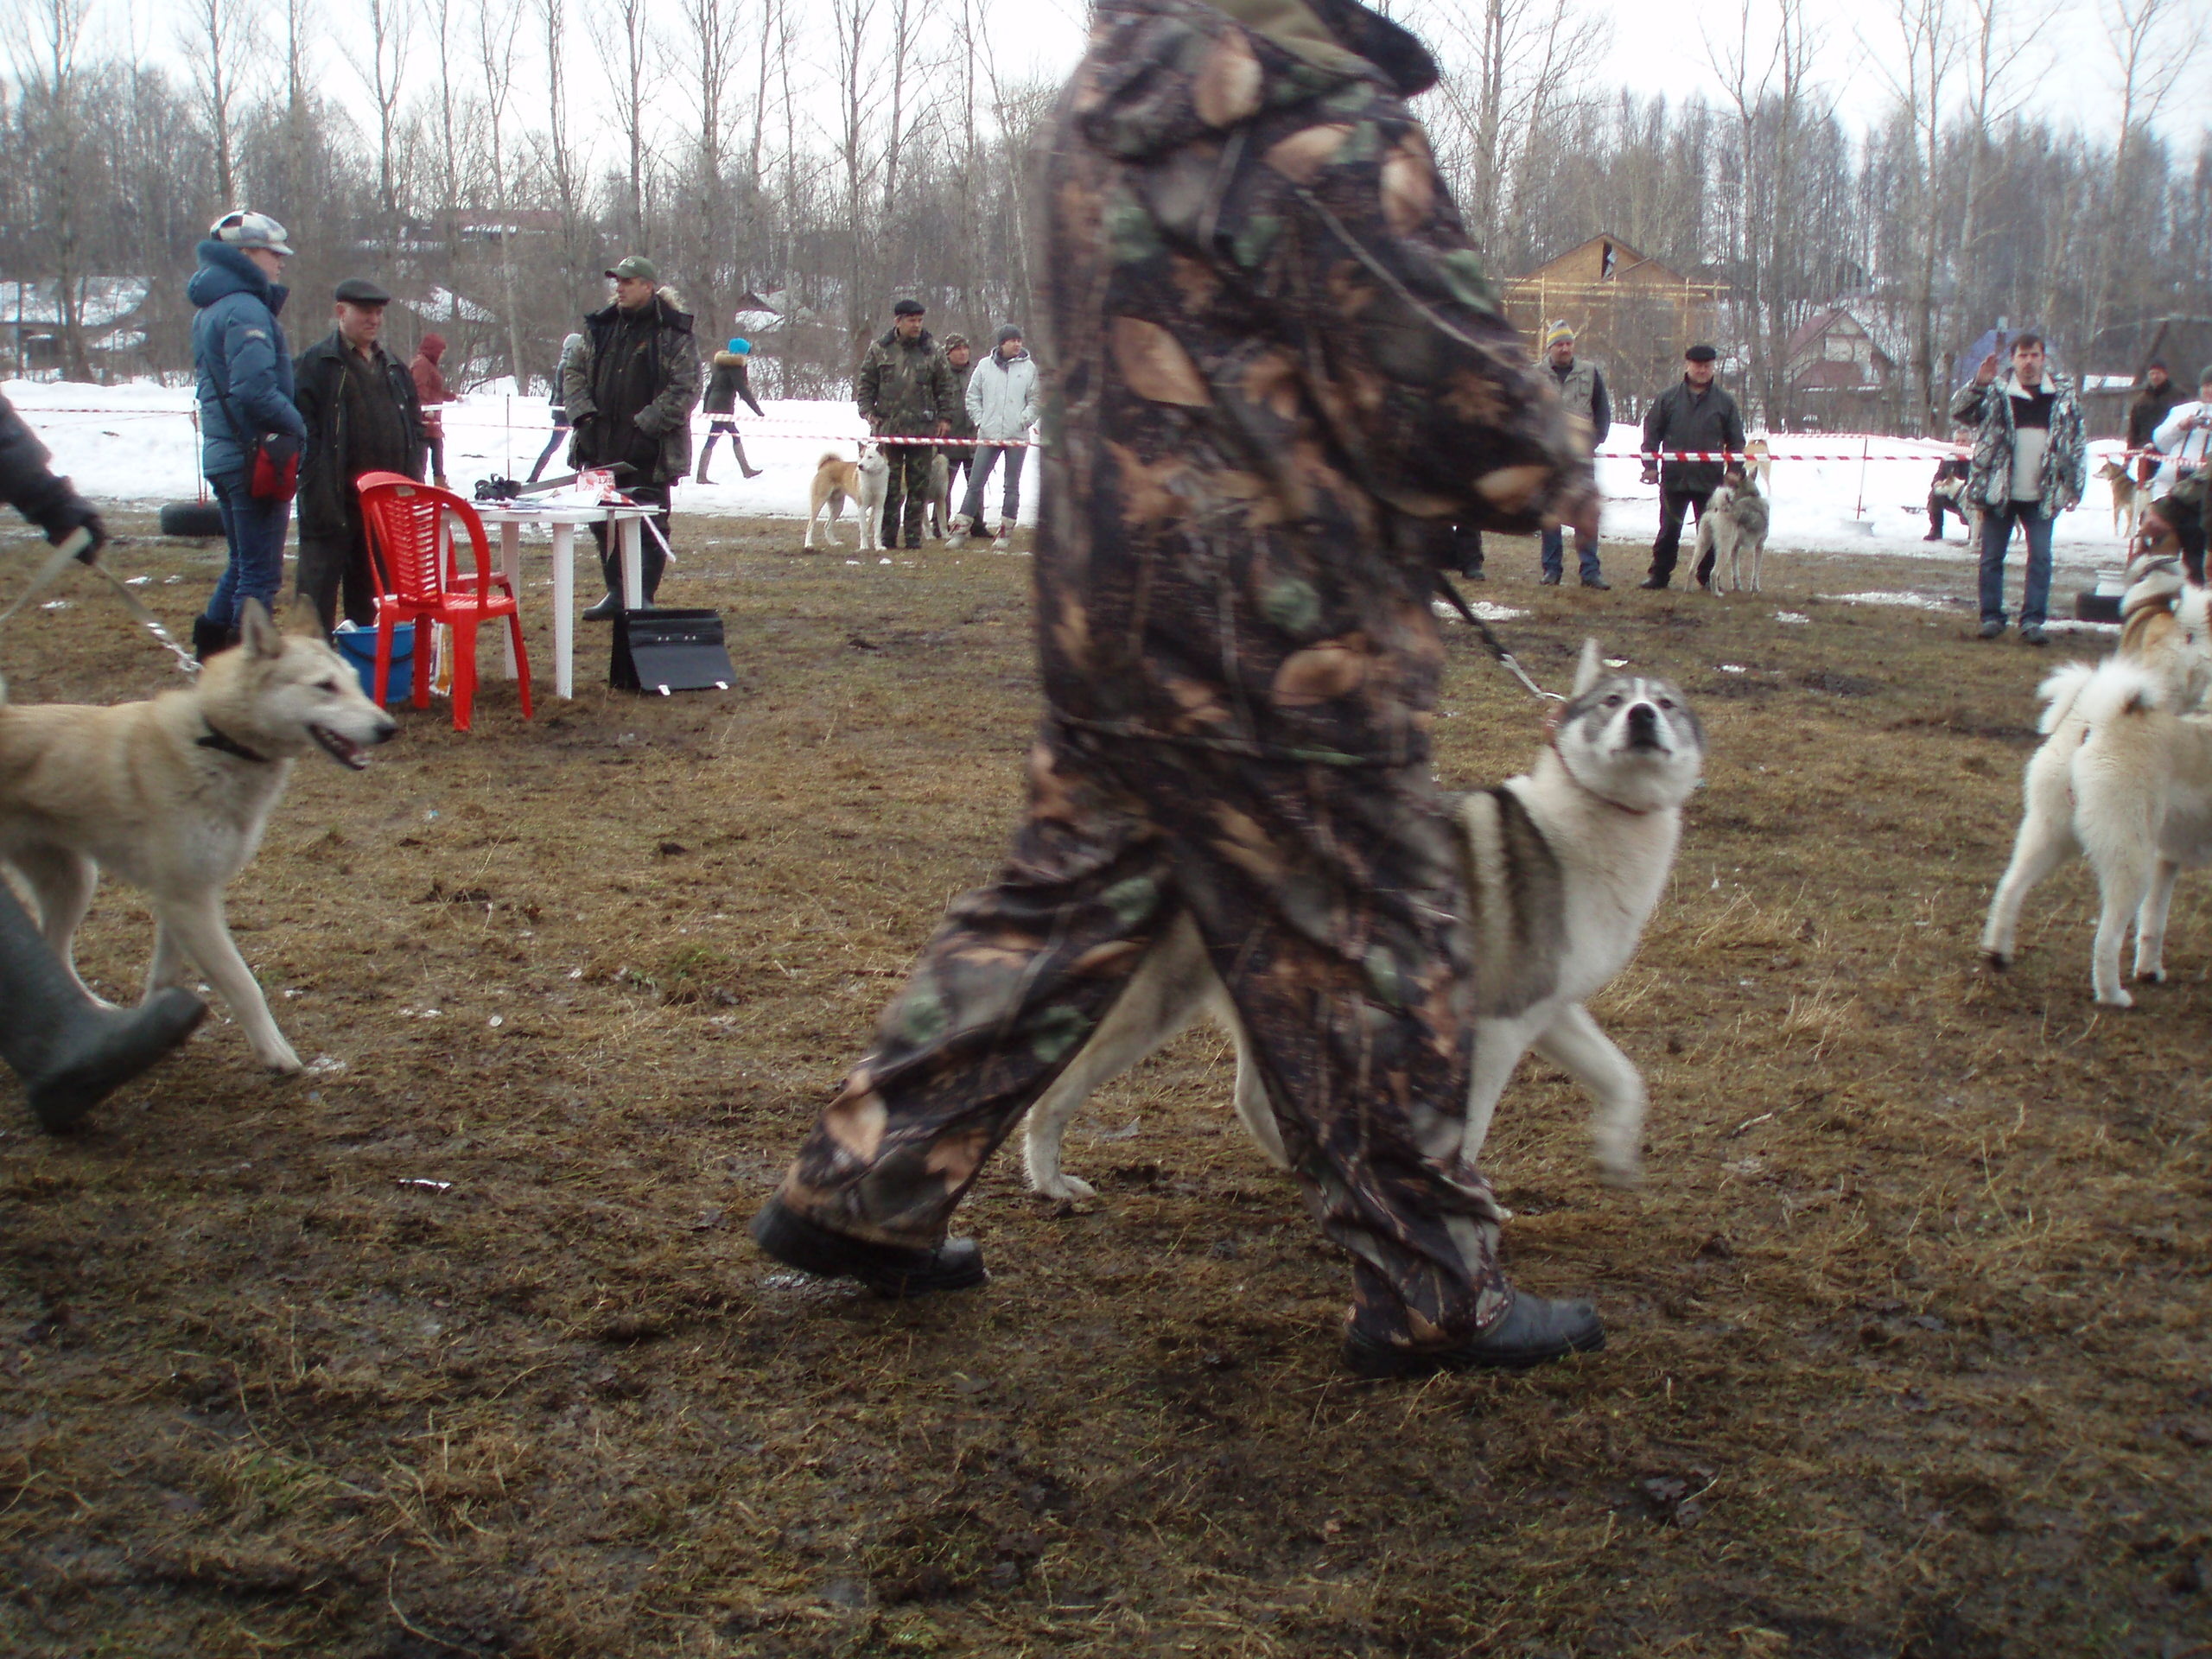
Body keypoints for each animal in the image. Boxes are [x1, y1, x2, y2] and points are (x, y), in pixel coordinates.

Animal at [0, 601, 397, 1072]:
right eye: (325, 686)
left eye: (355, 680)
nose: (389, 728)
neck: (217, 741)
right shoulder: (189, 898)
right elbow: (244, 984)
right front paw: (274, 1052)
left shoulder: (186, 896)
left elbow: (167, 973)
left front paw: (158, 1027)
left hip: (74, 880)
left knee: (54, 949)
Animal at [1023, 641, 1705, 1198]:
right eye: (1612, 701)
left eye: (1666, 705)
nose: (1641, 717)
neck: (1595, 821)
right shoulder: (1500, 1025)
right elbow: (1474, 1128)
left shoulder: (1548, 1010)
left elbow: (1623, 1079)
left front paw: (1616, 1156)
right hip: (1162, 1001)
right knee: (1056, 1089)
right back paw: (1051, 1182)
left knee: (1250, 1098)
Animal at [1695, 464, 1772, 594]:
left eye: (1732, 484)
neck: (1750, 496)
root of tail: (1718, 508)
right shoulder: (1759, 546)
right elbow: (1756, 573)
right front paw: (1755, 588)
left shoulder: (1735, 548)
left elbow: (1735, 572)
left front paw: (1738, 587)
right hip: (1724, 549)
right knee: (1713, 573)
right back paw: (1716, 593)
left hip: (1704, 543)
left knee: (1691, 570)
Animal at [1981, 564, 2212, 1004]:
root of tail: (2096, 721)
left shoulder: (2167, 859)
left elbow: (2153, 924)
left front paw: (2150, 970)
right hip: (2130, 859)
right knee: (2105, 939)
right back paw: (2112, 995)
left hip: (2050, 836)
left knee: (2009, 888)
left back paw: (1997, 953)